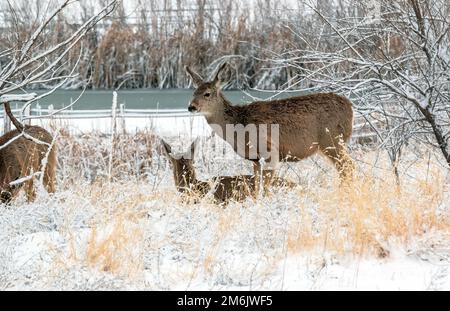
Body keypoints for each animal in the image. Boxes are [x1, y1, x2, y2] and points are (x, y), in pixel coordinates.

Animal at [186, 64, 356, 182]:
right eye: (193, 93)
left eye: (207, 94)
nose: (191, 107)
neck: (238, 124)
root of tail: (349, 106)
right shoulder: (254, 159)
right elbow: (256, 186)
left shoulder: (270, 150)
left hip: (332, 140)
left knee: (348, 167)